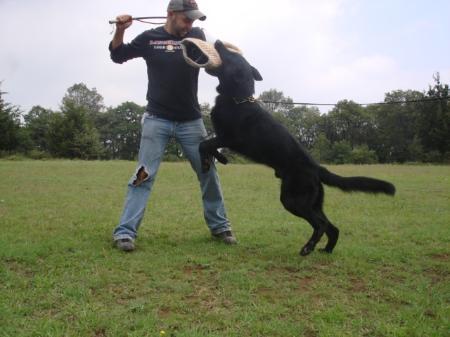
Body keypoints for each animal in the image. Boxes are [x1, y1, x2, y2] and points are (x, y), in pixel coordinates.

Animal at [199, 40, 396, 255]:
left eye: (229, 54)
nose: (218, 41)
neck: (237, 98)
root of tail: (317, 168)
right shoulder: (223, 138)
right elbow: (209, 146)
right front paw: (220, 159)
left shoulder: (230, 138)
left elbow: (204, 144)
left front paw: (210, 161)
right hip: (312, 202)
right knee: (333, 227)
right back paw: (326, 250)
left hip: (293, 200)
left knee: (321, 225)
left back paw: (308, 247)